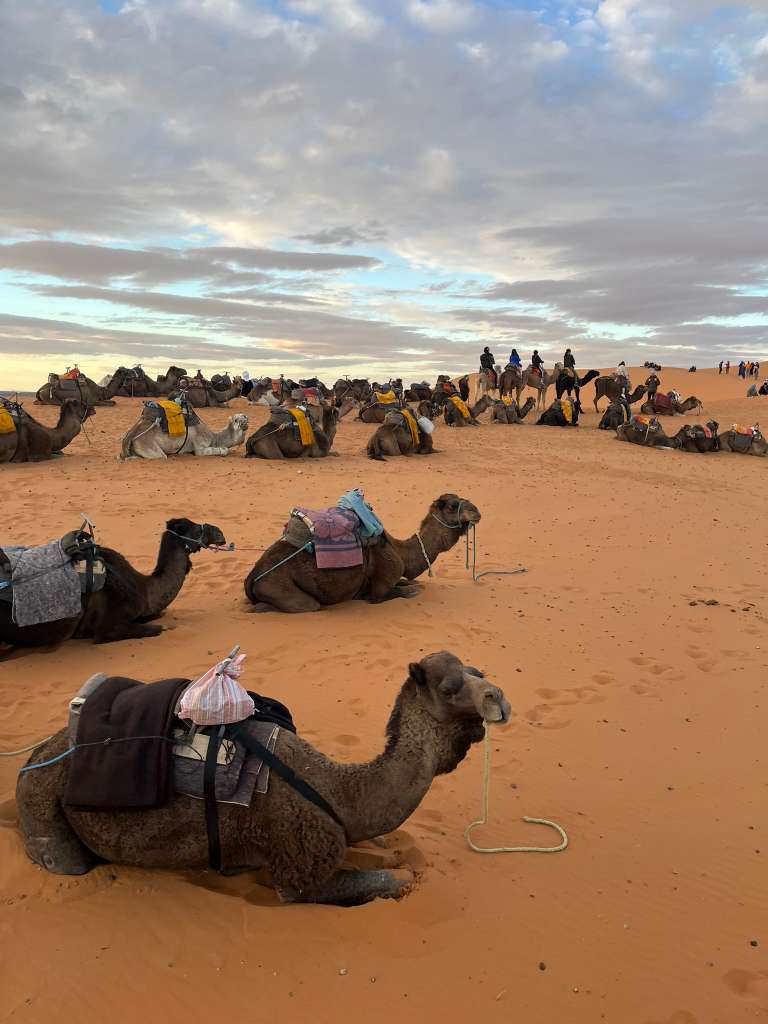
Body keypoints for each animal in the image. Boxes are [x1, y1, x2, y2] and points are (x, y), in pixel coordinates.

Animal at [0, 518, 225, 647]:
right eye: (189, 527)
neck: (144, 588)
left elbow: (157, 614)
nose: (220, 532)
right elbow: (157, 628)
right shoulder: (107, 627)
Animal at [16, 651, 510, 904]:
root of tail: (33, 757)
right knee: (68, 861)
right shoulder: (297, 870)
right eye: (449, 687)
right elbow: (396, 878)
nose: (499, 699)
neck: (340, 792)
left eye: (478, 671)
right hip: (42, 808)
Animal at [120, 407, 248, 460]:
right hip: (147, 444)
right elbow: (224, 450)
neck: (214, 437)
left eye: (244, 416)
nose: (245, 418)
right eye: (236, 419)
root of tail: (130, 435)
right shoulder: (200, 446)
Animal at [245, 494, 480, 613]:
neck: (401, 552)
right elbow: (409, 591)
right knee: (307, 604)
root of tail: (253, 575)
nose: (476, 511)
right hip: (278, 586)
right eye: (452, 506)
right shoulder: (381, 588)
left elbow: (413, 583)